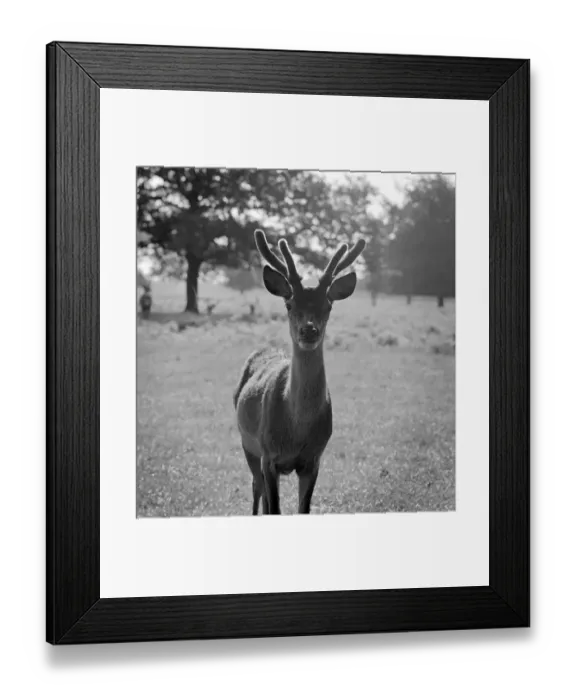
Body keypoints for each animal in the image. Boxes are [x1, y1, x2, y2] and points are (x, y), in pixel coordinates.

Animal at [232, 229, 366, 515]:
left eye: (328, 306)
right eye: (290, 304)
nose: (309, 330)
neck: (296, 430)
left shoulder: (313, 460)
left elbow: (302, 509)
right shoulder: (269, 455)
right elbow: (274, 509)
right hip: (247, 443)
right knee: (256, 488)